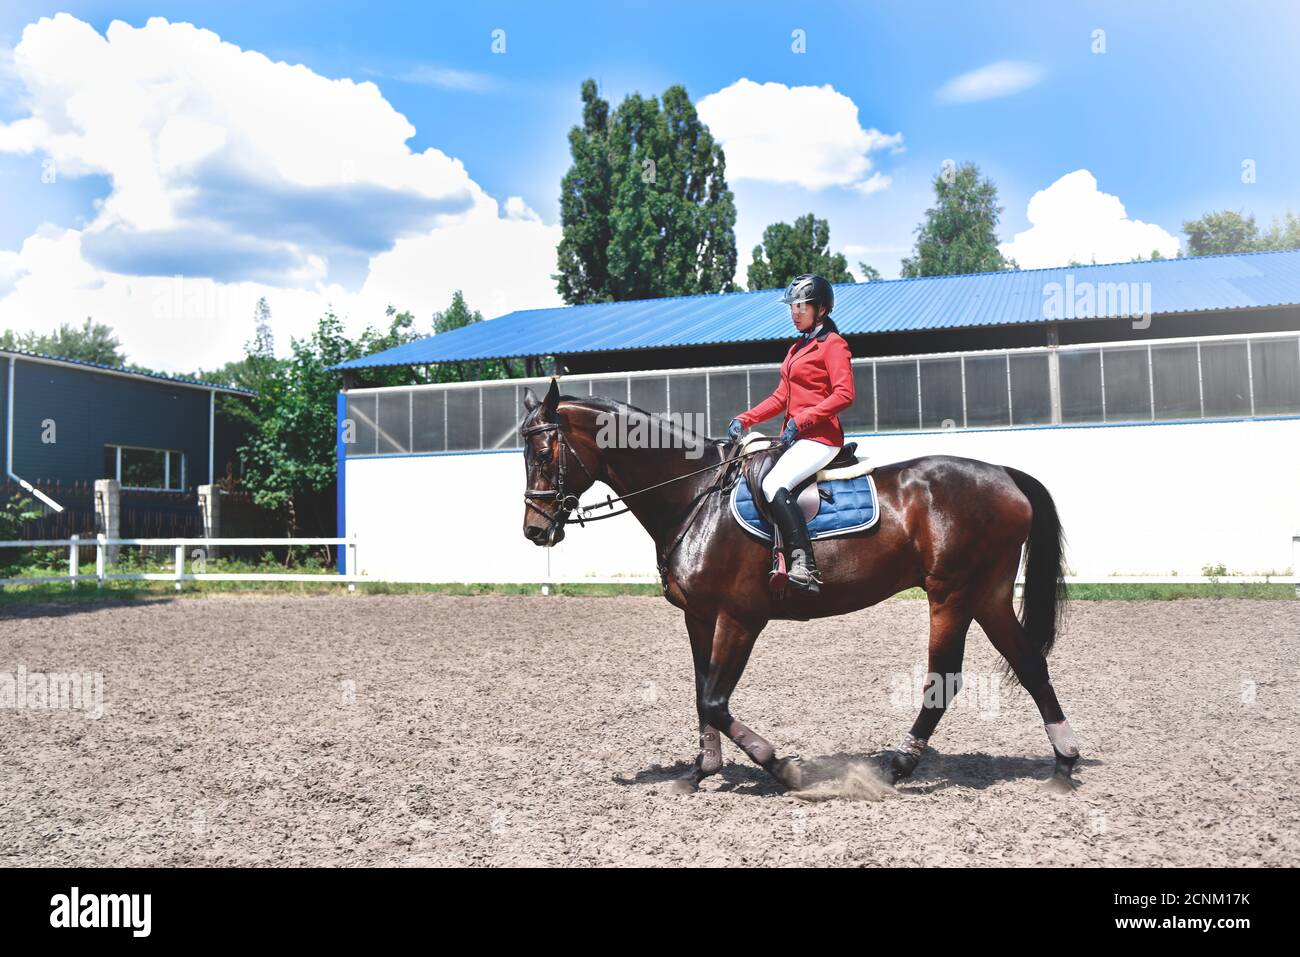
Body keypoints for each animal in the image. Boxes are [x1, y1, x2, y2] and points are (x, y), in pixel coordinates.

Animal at [519, 378, 1080, 794]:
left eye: (544, 454)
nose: (535, 531)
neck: (696, 496)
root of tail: (1004, 474)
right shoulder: (699, 615)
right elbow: (701, 694)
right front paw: (700, 772)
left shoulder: (741, 617)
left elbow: (715, 701)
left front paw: (782, 768)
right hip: (987, 594)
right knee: (1030, 664)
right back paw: (1063, 764)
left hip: (952, 594)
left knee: (945, 677)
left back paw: (898, 766)